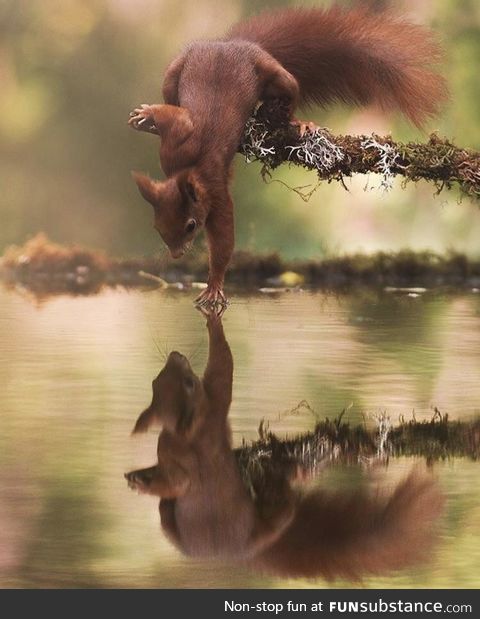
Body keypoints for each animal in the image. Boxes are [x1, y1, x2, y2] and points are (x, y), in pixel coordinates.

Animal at [124, 310, 442, 580]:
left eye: (156, 381)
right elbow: (223, 368)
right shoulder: (215, 408)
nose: (175, 355)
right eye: (189, 383)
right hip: (263, 521)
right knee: (281, 506)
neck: (186, 434)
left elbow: (175, 481)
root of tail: (243, 555)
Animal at [127, 4, 446, 306]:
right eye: (156, 226)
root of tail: (234, 43)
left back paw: (299, 123)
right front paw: (148, 114)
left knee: (289, 93)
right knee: (171, 91)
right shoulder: (173, 150)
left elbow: (224, 242)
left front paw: (214, 286)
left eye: (191, 225)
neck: (188, 170)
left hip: (274, 74)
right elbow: (176, 118)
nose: (176, 255)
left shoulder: (215, 194)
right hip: (175, 70)